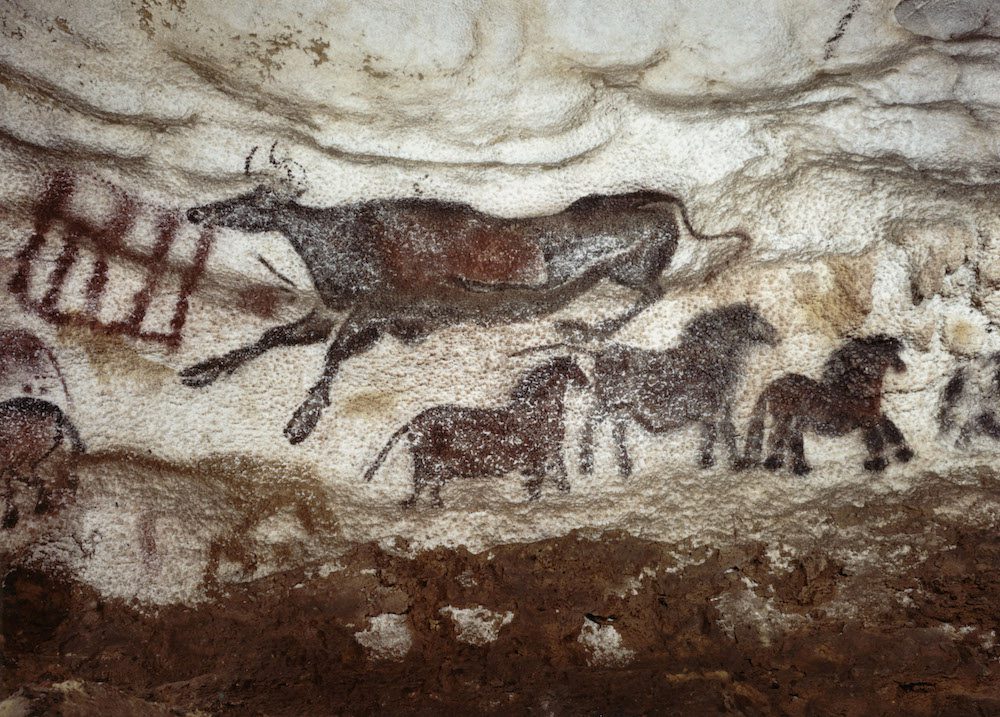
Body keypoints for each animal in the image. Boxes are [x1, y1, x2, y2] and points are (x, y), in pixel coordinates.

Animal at [366, 356, 584, 506]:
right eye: (577, 369)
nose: (586, 382)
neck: (540, 411)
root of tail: (413, 421)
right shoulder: (541, 453)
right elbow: (542, 477)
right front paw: (538, 498)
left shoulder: (548, 451)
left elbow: (554, 470)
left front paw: (561, 489)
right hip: (431, 462)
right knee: (423, 482)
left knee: (425, 483)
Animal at [580, 302, 780, 476]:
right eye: (759, 319)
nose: (776, 336)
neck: (713, 355)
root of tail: (598, 355)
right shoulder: (720, 405)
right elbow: (726, 431)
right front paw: (735, 462)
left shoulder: (711, 407)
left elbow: (711, 432)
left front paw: (707, 461)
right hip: (609, 403)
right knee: (591, 424)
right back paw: (588, 465)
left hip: (619, 408)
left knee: (614, 430)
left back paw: (622, 467)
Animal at [744, 336, 916, 476]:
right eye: (874, 354)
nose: (902, 367)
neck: (856, 390)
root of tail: (772, 385)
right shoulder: (867, 418)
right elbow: (876, 439)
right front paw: (878, 463)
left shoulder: (874, 414)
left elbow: (890, 429)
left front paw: (904, 454)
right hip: (785, 416)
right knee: (776, 436)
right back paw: (774, 463)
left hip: (791, 419)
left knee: (791, 440)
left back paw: (799, 468)